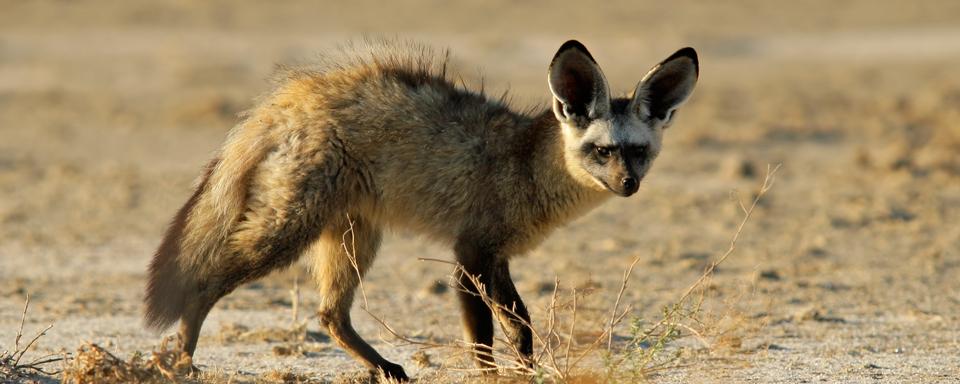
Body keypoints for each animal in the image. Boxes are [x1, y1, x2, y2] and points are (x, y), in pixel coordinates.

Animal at [144, 39, 696, 380]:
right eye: (602, 150)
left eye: (638, 152)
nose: (629, 185)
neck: (524, 164)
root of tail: (294, 96)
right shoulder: (469, 256)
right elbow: (486, 336)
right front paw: (495, 377)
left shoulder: (496, 257)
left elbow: (521, 325)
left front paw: (527, 370)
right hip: (287, 233)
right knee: (204, 283)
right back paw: (182, 359)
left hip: (353, 239)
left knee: (330, 315)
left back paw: (382, 367)